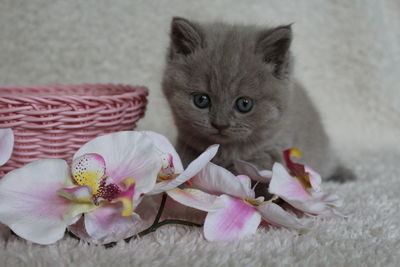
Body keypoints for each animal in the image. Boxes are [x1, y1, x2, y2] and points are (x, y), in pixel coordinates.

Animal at [161, 17, 354, 184]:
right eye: (201, 100)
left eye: (244, 104)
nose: (220, 124)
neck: (226, 151)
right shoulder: (185, 145)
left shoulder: (276, 152)